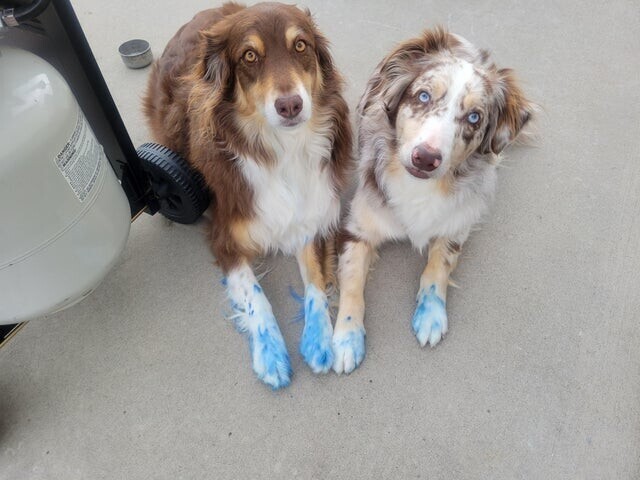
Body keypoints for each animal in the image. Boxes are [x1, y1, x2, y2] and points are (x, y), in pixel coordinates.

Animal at [142, 1, 350, 388]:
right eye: (249, 55)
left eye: (301, 46)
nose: (290, 105)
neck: (281, 149)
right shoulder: (224, 235)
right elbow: (255, 294)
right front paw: (271, 355)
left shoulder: (310, 217)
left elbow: (315, 280)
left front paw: (319, 339)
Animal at [336, 27, 536, 376]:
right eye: (423, 96)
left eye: (474, 117)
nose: (426, 157)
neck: (419, 186)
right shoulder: (358, 228)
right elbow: (352, 281)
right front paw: (346, 338)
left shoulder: (456, 225)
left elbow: (437, 267)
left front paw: (430, 316)